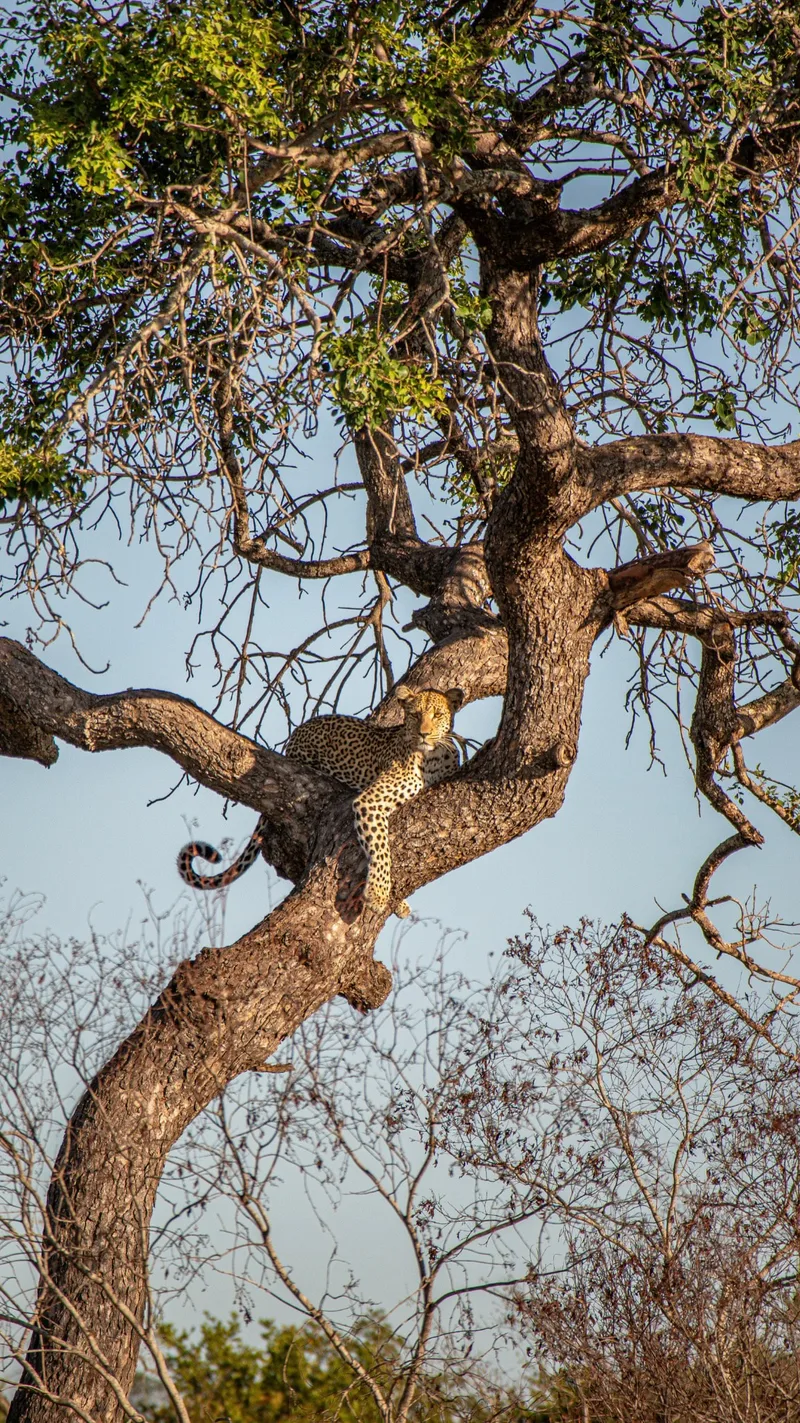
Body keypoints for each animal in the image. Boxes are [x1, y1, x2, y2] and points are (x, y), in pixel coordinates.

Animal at [177, 685, 464, 917]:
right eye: (415, 715)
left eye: (437, 715)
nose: (424, 734)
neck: (431, 757)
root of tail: (297, 734)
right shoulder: (369, 801)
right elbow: (381, 849)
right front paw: (378, 895)